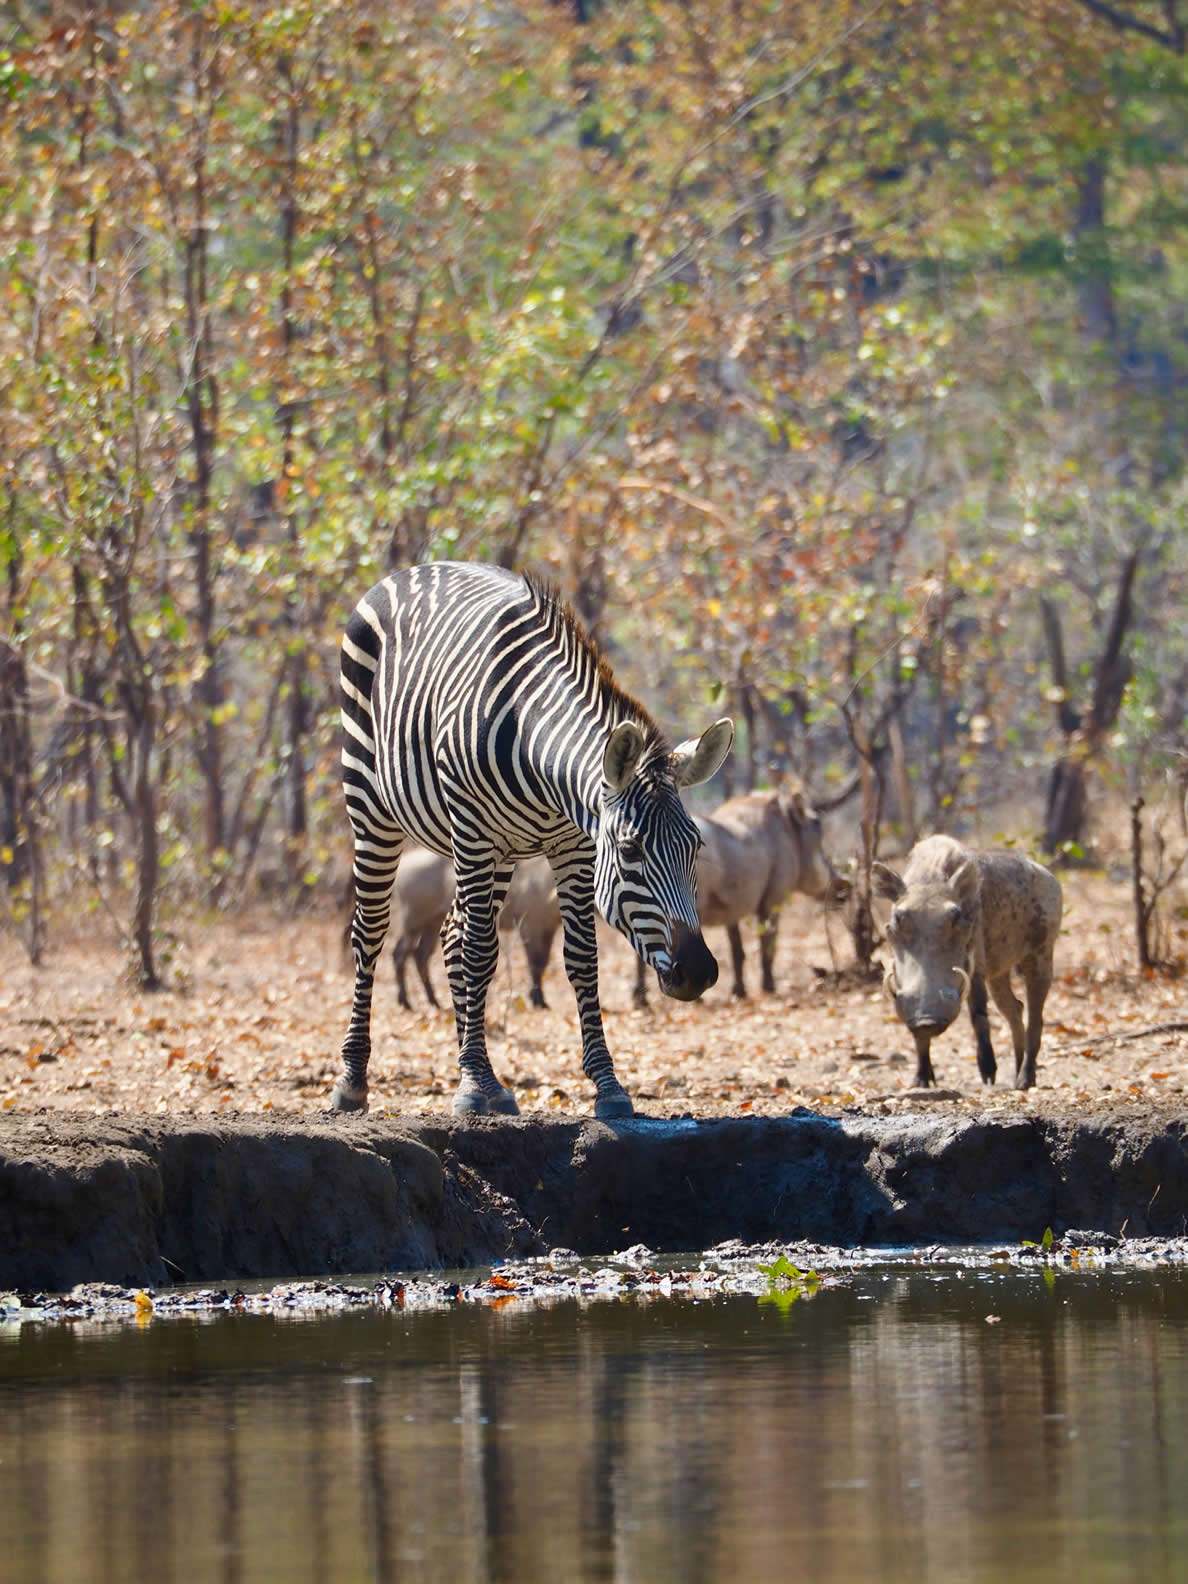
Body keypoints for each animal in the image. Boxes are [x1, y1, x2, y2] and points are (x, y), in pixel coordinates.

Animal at [333, 561, 733, 1119]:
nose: (697, 972)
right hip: (375, 807)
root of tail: (410, 571)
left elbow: (581, 958)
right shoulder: (474, 831)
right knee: (372, 934)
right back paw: (355, 1080)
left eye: (695, 849)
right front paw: (472, 1084)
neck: (532, 734)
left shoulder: (575, 847)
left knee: (452, 935)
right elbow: (482, 953)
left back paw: (480, 1068)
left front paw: (606, 1085)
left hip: (499, 851)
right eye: (630, 850)